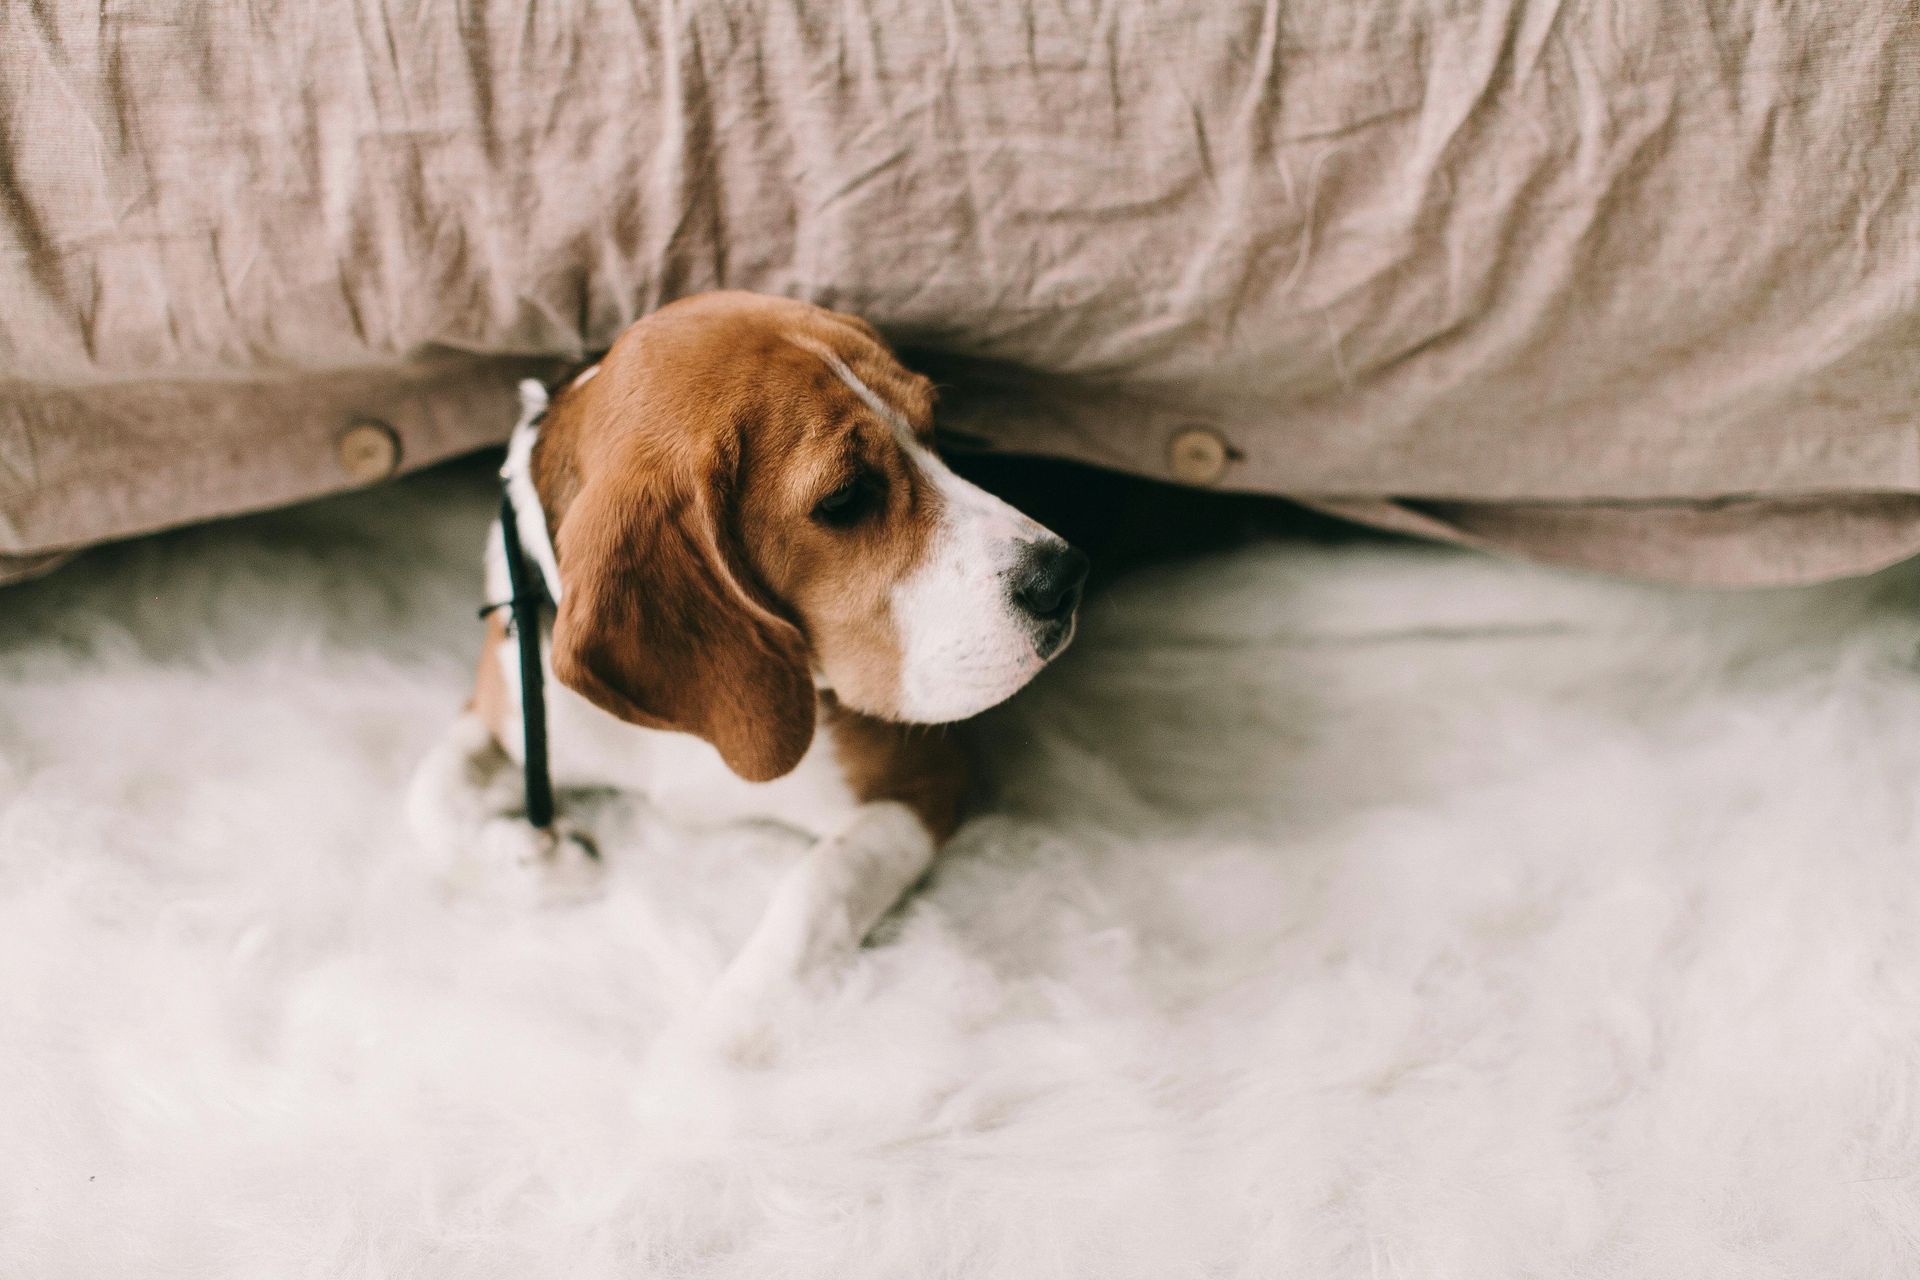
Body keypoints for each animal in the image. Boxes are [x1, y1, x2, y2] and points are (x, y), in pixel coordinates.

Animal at [407, 295, 1090, 1005]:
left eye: (936, 429)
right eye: (845, 497)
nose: (1065, 579)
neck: (680, 738)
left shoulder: (924, 781)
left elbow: (812, 898)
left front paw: (720, 1032)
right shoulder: (510, 706)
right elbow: (429, 800)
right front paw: (547, 861)